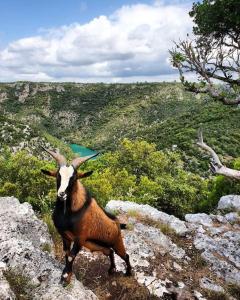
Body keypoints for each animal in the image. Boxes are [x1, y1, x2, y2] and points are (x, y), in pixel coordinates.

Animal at [40, 149, 131, 284]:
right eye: (58, 175)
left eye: (74, 177)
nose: (62, 194)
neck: (70, 212)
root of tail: (117, 223)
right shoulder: (65, 236)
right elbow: (67, 254)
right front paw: (68, 274)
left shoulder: (80, 238)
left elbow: (71, 256)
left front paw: (65, 277)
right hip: (95, 244)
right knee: (109, 251)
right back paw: (112, 269)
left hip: (117, 242)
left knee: (125, 255)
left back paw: (128, 273)